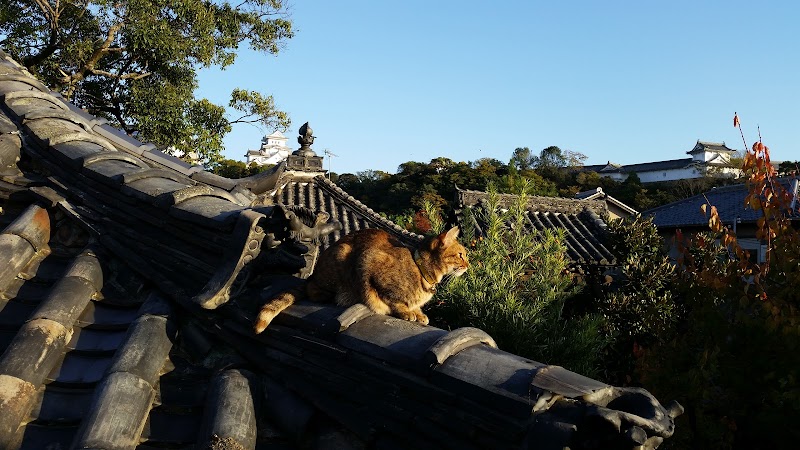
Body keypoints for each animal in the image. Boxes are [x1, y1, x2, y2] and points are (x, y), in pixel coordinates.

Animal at [255, 227, 468, 332]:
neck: (422, 271)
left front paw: (418, 312)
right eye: (460, 255)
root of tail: (311, 276)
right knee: (313, 290)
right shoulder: (370, 263)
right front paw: (406, 312)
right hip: (341, 258)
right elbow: (393, 300)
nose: (469, 265)